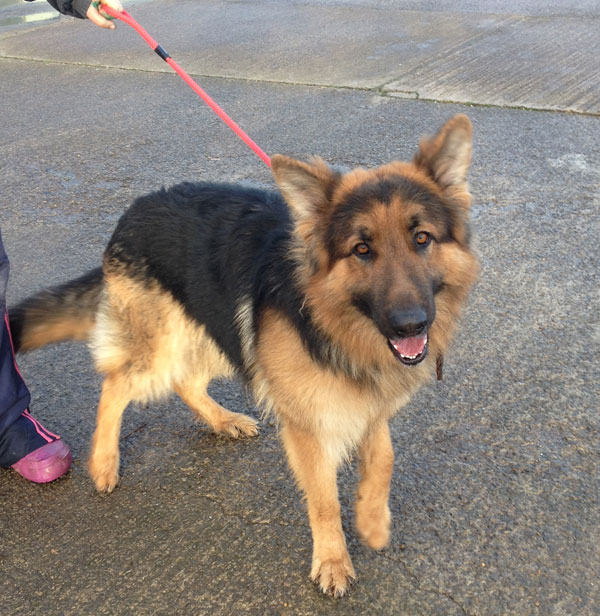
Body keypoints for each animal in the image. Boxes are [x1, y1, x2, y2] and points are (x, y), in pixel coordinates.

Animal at [9, 115, 478, 596]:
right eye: (361, 249)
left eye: (422, 238)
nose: (410, 325)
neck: (331, 319)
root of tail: (133, 211)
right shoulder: (306, 424)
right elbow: (324, 499)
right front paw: (332, 560)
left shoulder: (369, 401)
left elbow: (384, 458)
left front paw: (372, 520)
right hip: (168, 348)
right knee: (116, 383)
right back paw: (103, 463)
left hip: (219, 332)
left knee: (186, 381)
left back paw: (222, 421)